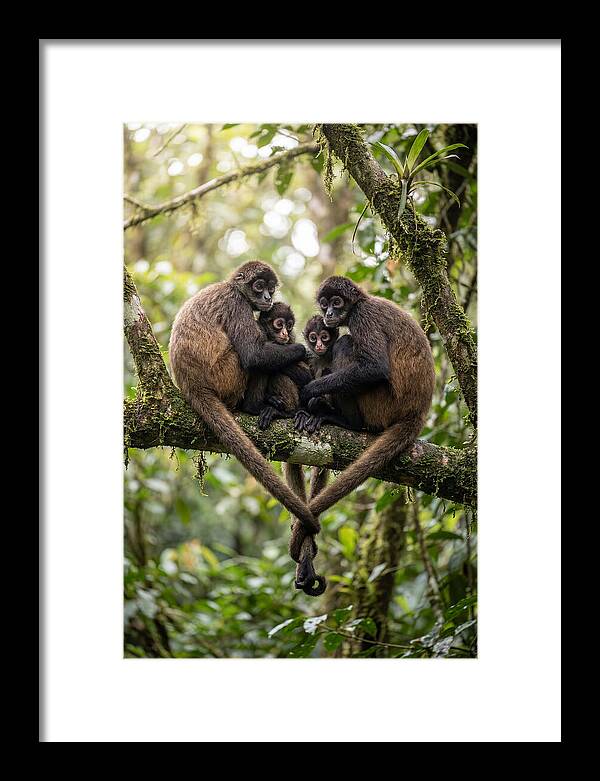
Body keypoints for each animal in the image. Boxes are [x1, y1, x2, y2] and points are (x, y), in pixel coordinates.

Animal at [168, 261, 319, 536]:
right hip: (226, 375)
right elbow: (253, 355)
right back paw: (255, 406)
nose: (268, 297)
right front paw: (302, 350)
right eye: (259, 286)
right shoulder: (236, 303)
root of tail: (191, 385)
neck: (231, 287)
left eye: (271, 288)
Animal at [298, 276, 435, 519]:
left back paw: (346, 421)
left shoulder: (362, 316)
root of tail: (417, 413)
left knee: (345, 343)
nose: (329, 314)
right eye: (324, 304)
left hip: (381, 404)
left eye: (337, 302)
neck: (362, 302)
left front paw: (310, 391)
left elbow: (375, 367)